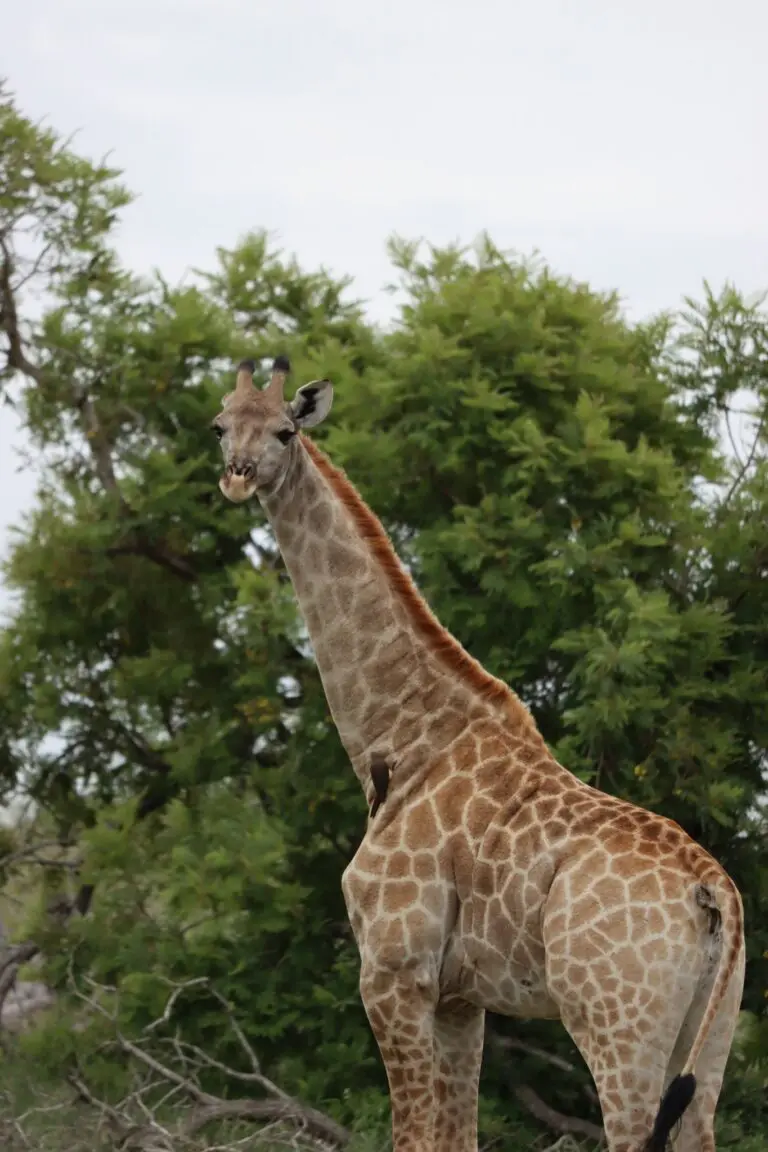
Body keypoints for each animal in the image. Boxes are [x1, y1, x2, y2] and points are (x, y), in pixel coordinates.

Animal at [212, 356, 746, 1152]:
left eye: (285, 431)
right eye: (220, 425)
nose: (239, 476)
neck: (403, 737)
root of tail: (715, 893)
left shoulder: (393, 971)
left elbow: (411, 1134)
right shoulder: (462, 996)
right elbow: (456, 1133)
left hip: (619, 1027)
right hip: (709, 1043)